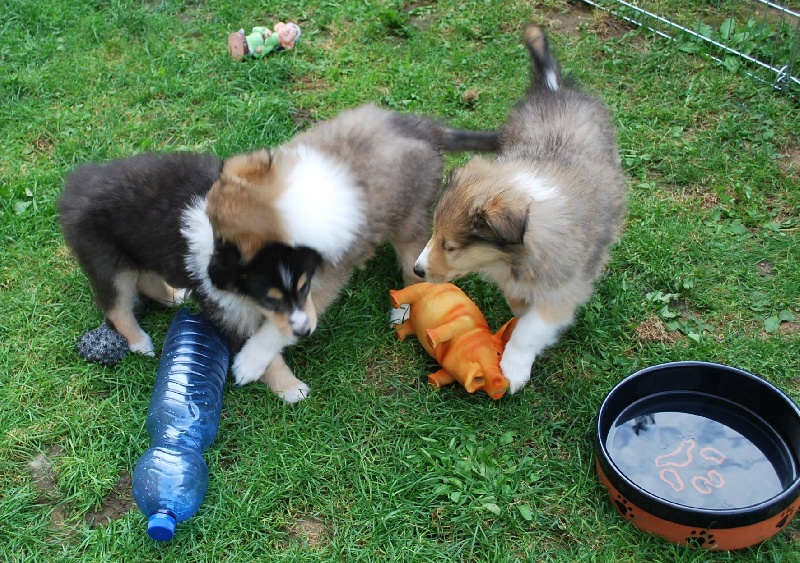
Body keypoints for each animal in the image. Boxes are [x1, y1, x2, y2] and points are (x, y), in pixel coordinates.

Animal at [57, 152, 324, 404]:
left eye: (305, 287)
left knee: (145, 279)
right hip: (108, 261)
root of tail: (76, 187)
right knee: (116, 308)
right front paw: (289, 388)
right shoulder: (227, 311)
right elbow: (257, 346)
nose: (304, 332)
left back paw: (173, 297)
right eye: (269, 300)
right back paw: (140, 343)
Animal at [202, 102, 500, 400]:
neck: (291, 207)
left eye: (232, 249)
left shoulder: (321, 284)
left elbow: (284, 325)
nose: (211, 279)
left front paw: (249, 362)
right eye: (214, 232)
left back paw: (401, 311)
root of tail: (428, 129)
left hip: (410, 221)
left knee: (414, 271)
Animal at [416, 27, 628, 396]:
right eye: (435, 235)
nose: (416, 270)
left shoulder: (563, 290)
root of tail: (552, 87)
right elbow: (519, 305)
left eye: (450, 246)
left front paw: (512, 368)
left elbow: (532, 327)